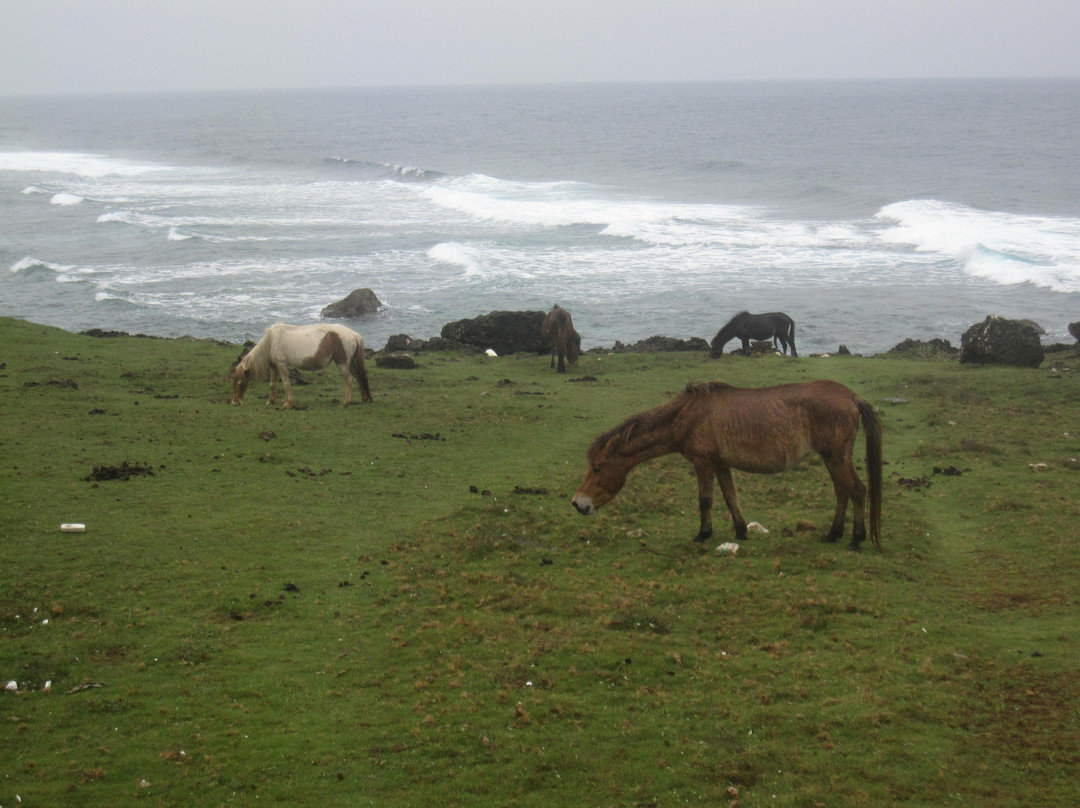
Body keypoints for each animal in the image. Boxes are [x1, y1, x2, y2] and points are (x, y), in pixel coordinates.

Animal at [230, 321, 373, 406]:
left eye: (240, 383)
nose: (235, 402)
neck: (271, 341)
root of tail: (354, 334)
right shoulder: (274, 367)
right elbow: (272, 384)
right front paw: (271, 401)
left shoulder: (281, 365)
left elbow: (286, 383)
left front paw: (288, 403)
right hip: (350, 364)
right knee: (359, 377)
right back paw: (364, 399)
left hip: (342, 364)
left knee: (349, 380)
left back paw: (347, 402)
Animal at [570, 382, 881, 553]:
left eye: (597, 468)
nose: (577, 504)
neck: (686, 415)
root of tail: (852, 397)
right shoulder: (720, 464)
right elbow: (731, 497)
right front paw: (741, 531)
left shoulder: (703, 462)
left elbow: (705, 500)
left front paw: (702, 534)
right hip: (832, 458)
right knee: (842, 492)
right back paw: (833, 534)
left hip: (836, 457)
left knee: (856, 490)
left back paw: (856, 539)